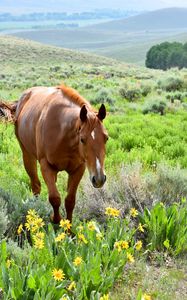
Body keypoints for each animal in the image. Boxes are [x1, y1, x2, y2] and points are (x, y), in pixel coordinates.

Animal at [0, 84, 108, 223]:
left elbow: (70, 200)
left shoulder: (79, 168)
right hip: (27, 155)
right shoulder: (46, 166)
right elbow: (55, 198)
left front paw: (68, 226)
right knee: (36, 186)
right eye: (82, 139)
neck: (63, 132)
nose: (99, 179)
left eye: (106, 138)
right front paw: (56, 220)